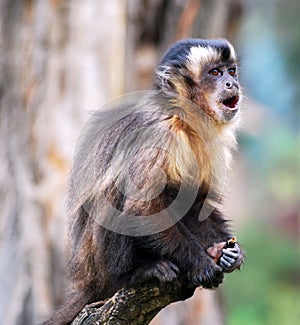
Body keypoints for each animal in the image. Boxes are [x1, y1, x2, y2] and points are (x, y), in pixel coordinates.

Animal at [42, 38, 244, 324]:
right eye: (215, 73)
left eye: (231, 71)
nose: (231, 83)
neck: (184, 117)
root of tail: (88, 280)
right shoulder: (161, 134)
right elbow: (142, 208)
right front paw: (200, 264)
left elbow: (197, 203)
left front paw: (226, 253)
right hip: (97, 265)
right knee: (117, 194)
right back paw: (133, 274)